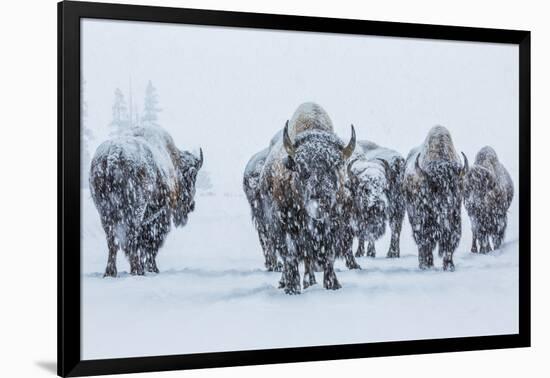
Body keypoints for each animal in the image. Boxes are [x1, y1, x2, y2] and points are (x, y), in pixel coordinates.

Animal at [89, 125, 204, 276]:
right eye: (193, 177)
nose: (192, 206)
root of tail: (112, 155)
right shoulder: (159, 214)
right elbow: (151, 243)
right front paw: (153, 268)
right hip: (135, 210)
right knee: (131, 236)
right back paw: (137, 270)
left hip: (104, 212)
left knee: (112, 240)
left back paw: (111, 272)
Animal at [260, 103, 356, 296]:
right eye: (302, 168)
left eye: (336, 167)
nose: (320, 202)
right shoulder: (286, 226)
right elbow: (290, 256)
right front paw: (292, 288)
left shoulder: (334, 226)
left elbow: (328, 255)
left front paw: (333, 284)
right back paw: (287, 282)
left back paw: (310, 281)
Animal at [404, 125, 468, 270]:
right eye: (434, 187)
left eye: (456, 187)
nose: (447, 205)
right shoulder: (423, 219)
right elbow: (425, 241)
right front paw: (426, 265)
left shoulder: (455, 219)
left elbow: (450, 242)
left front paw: (449, 266)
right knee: (422, 242)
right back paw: (425, 264)